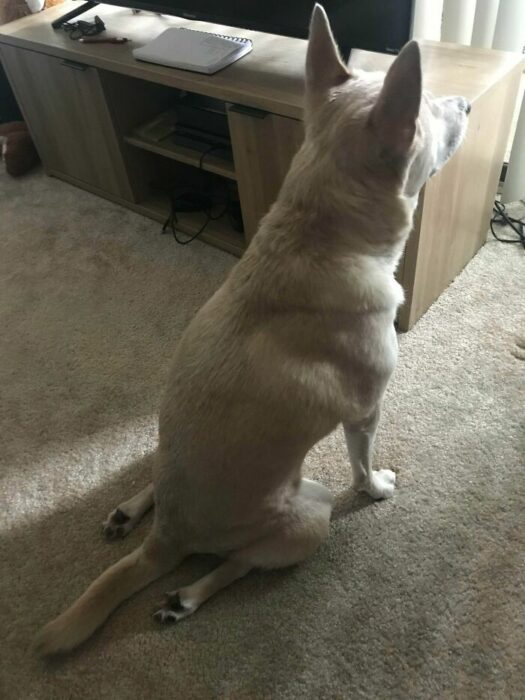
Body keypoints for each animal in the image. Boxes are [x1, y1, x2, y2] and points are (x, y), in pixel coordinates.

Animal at [33, 4, 466, 656]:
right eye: (435, 109)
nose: (465, 102)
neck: (317, 234)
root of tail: (167, 542)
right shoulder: (366, 412)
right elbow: (363, 466)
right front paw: (378, 488)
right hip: (311, 511)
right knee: (240, 563)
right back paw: (186, 596)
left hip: (166, 443)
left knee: (155, 474)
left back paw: (131, 511)